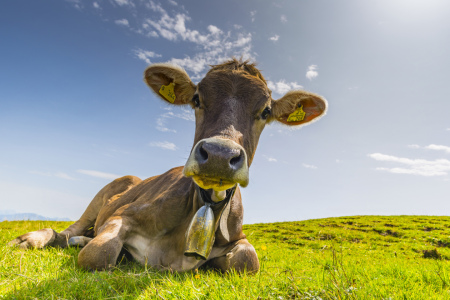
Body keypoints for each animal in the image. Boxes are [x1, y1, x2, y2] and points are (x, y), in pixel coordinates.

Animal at [7, 58, 326, 274]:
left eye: (266, 111)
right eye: (196, 99)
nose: (219, 155)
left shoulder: (239, 237)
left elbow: (248, 261)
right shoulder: (124, 213)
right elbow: (99, 253)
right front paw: (93, 248)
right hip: (106, 193)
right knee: (66, 232)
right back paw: (31, 239)